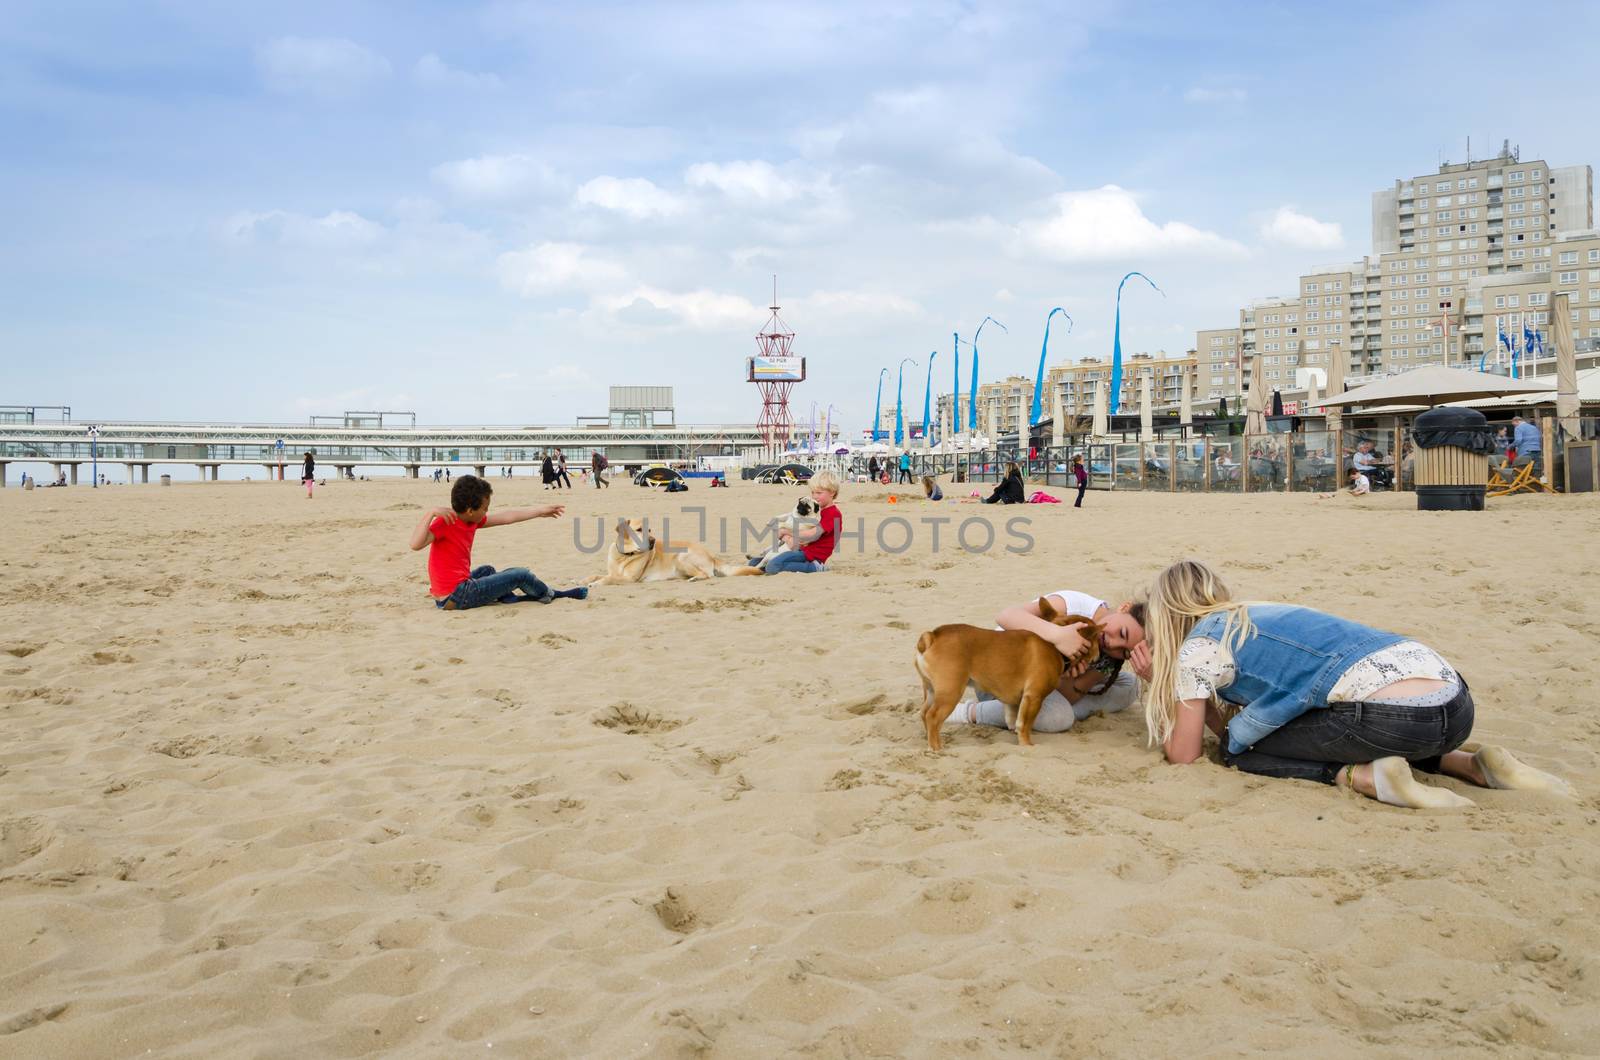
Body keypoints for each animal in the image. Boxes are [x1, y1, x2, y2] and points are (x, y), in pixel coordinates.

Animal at [915, 598, 1100, 755]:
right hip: (950, 692)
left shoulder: (1013, 701)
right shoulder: (1034, 697)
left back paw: (930, 739)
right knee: (933, 717)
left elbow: (1013, 719)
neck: (1055, 646)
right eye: (1097, 638)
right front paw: (1027, 744)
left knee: (924, 713)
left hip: (931, 691)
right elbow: (1025, 724)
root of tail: (932, 636)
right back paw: (936, 748)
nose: (1099, 654)